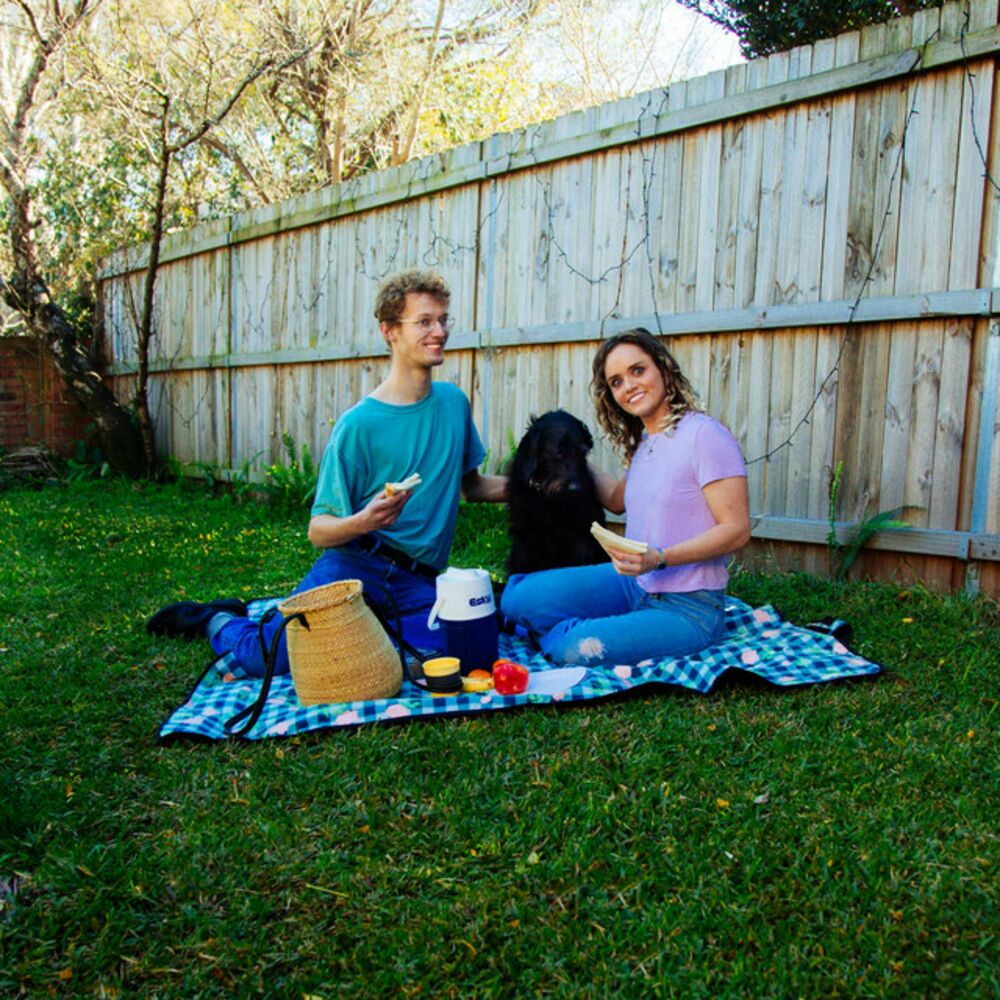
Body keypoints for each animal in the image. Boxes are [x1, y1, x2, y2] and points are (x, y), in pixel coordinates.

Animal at [506, 409, 607, 575]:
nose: (575, 489)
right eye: (558, 453)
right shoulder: (525, 538)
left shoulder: (582, 536)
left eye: (582, 452)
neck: (550, 500)